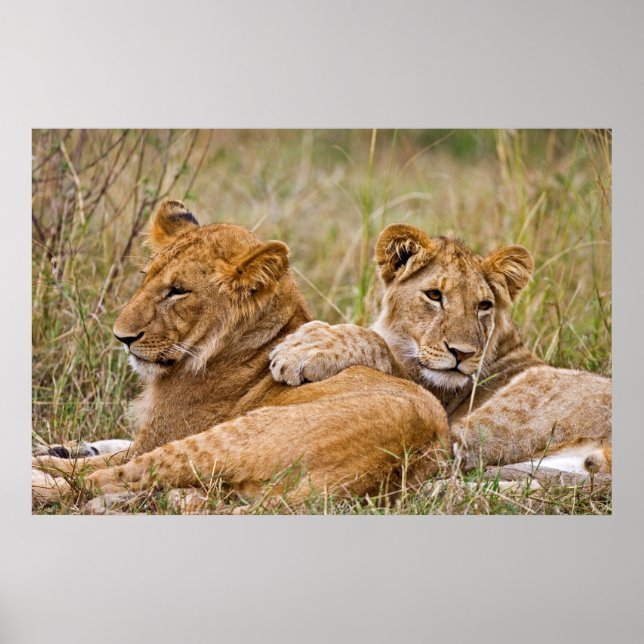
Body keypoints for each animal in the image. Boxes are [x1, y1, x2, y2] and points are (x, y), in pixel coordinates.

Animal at [32, 202, 450, 508]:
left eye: (178, 291)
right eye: (145, 277)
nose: (122, 337)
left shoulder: (158, 437)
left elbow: (102, 462)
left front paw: (50, 455)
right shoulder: (144, 437)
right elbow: (107, 444)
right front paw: (67, 445)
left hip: (223, 439)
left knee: (93, 481)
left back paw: (40, 480)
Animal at [269, 223, 612, 474]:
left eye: (483, 305)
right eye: (434, 295)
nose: (462, 354)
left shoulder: (429, 394)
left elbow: (374, 342)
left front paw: (302, 347)